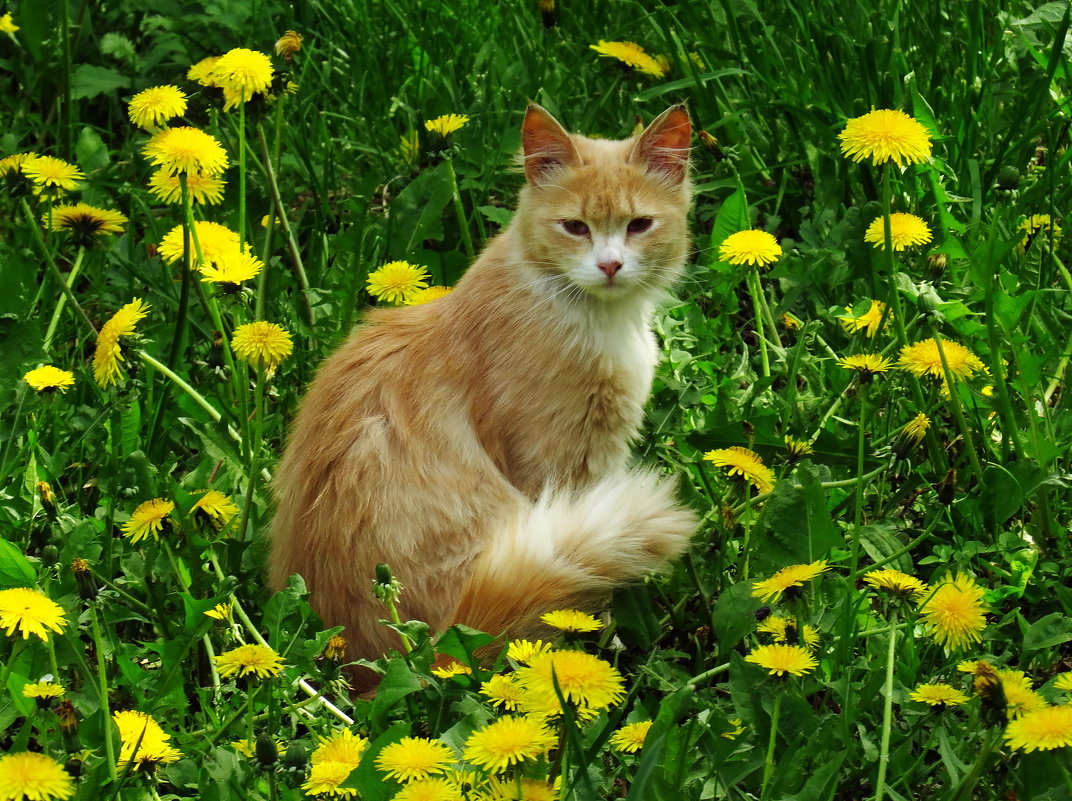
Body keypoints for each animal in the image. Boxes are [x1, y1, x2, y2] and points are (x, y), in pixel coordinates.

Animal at [270, 101, 694, 690]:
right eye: (575, 227)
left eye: (638, 225)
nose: (610, 265)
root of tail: (410, 663)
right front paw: (597, 634)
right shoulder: (561, 465)